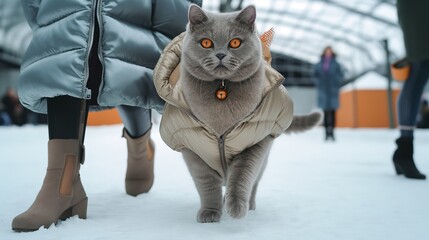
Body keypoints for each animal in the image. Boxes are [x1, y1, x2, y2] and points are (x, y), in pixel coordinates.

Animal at [152, 4, 320, 223]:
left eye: (235, 42)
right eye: (206, 42)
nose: (221, 55)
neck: (222, 91)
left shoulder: (256, 142)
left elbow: (242, 174)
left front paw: (237, 207)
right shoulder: (191, 149)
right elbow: (207, 184)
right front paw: (210, 212)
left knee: (254, 180)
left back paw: (250, 204)